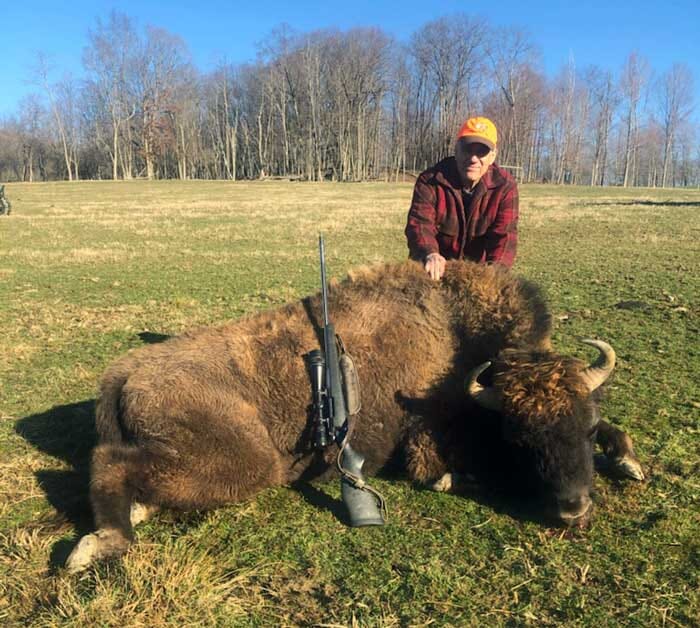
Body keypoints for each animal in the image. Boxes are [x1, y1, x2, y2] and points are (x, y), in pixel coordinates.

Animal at [64, 258, 640, 572]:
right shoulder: (430, 442)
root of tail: (122, 373)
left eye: (587, 425)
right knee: (110, 462)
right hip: (245, 461)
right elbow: (449, 474)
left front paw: (628, 462)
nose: (573, 509)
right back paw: (102, 544)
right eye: (520, 437)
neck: (456, 334)